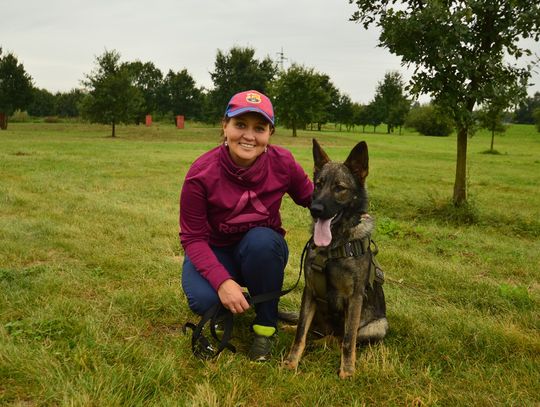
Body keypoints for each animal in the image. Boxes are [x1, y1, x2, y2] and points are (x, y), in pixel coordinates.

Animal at [282, 139, 388, 380]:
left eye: (339, 188)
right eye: (318, 185)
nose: (315, 209)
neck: (333, 247)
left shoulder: (355, 298)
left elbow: (349, 340)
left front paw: (347, 370)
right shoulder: (309, 292)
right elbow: (300, 332)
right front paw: (292, 362)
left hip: (378, 326)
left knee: (339, 338)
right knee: (310, 330)